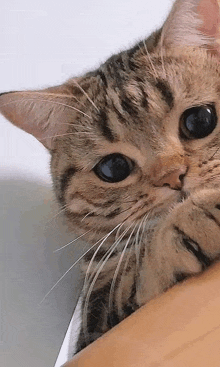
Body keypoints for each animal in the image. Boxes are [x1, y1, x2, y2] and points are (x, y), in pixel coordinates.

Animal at [1, 0, 220, 356]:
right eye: (114, 168)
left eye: (200, 120)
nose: (173, 176)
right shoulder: (97, 315)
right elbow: (141, 270)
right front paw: (194, 215)